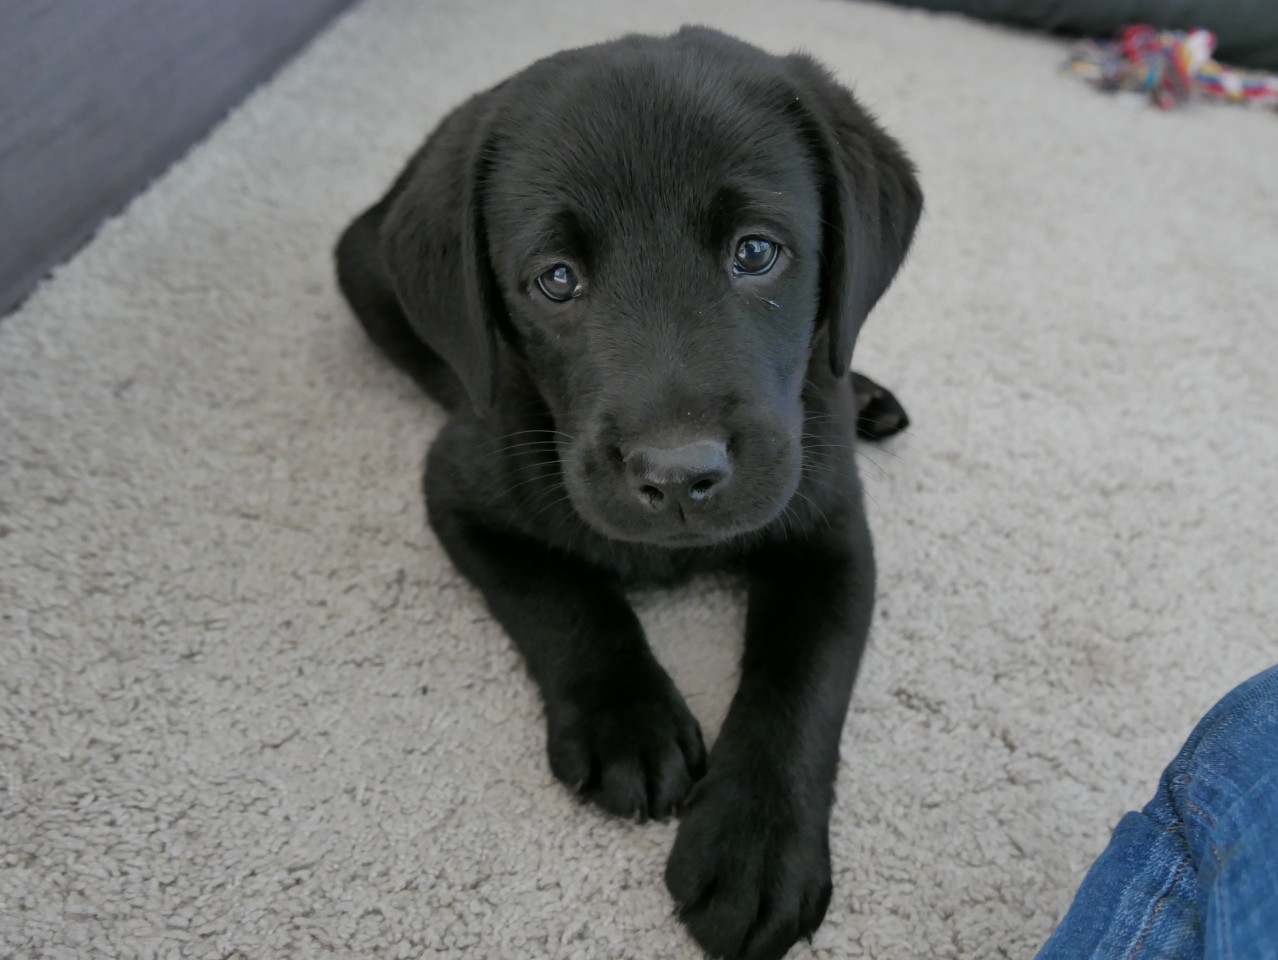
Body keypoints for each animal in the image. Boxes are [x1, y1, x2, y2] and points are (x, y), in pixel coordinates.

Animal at [337, 26, 920, 956]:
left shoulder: (831, 532)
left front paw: (755, 847)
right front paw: (628, 721)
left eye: (755, 252)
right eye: (556, 278)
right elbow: (562, 598)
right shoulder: (459, 488)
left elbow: (803, 683)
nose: (678, 475)